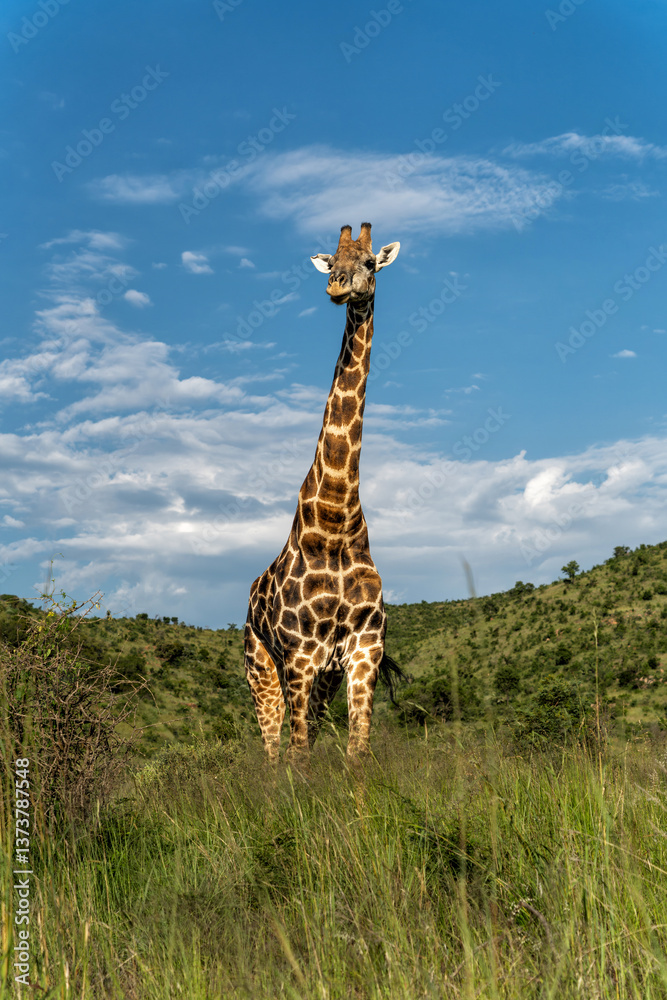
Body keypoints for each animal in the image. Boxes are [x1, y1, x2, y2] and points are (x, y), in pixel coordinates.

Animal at [243, 222, 402, 761]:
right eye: (332, 259)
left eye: (371, 263)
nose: (336, 285)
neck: (334, 521)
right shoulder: (299, 659)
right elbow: (298, 756)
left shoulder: (362, 653)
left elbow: (358, 753)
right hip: (260, 669)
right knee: (273, 751)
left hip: (322, 681)